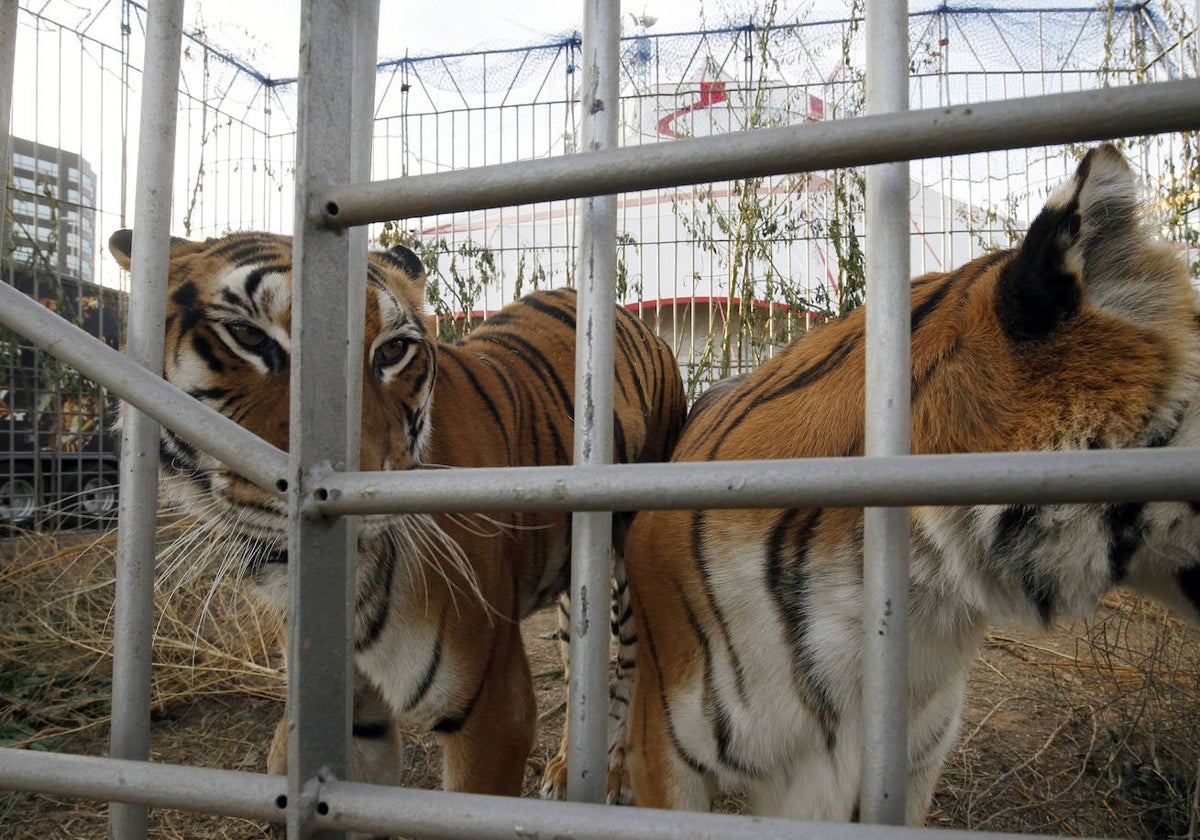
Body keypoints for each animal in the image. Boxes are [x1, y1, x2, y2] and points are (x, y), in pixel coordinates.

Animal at [108, 228, 691, 801]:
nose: (344, 492)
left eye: (392, 350)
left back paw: (615, 776)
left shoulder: (493, 710)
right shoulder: (346, 713)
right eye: (247, 337)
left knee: (631, 663)